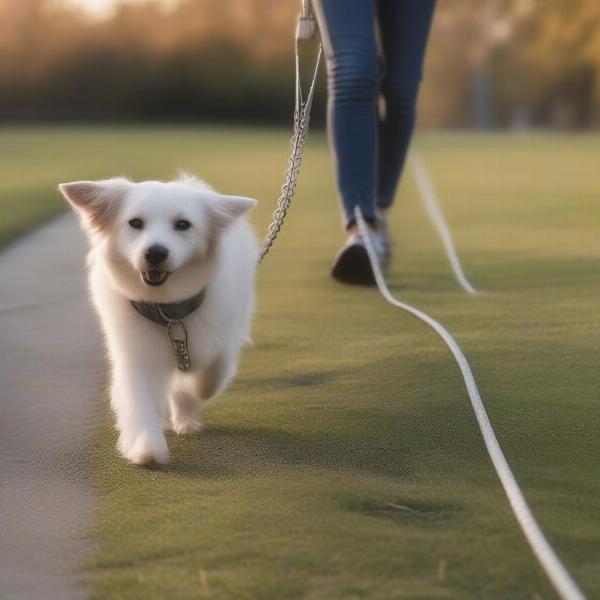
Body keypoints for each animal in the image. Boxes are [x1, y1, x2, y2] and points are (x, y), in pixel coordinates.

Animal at [59, 173, 256, 464]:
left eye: (183, 225)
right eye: (135, 223)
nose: (155, 253)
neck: (168, 310)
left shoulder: (223, 338)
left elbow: (210, 377)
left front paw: (194, 394)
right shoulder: (136, 356)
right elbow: (139, 401)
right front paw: (147, 447)